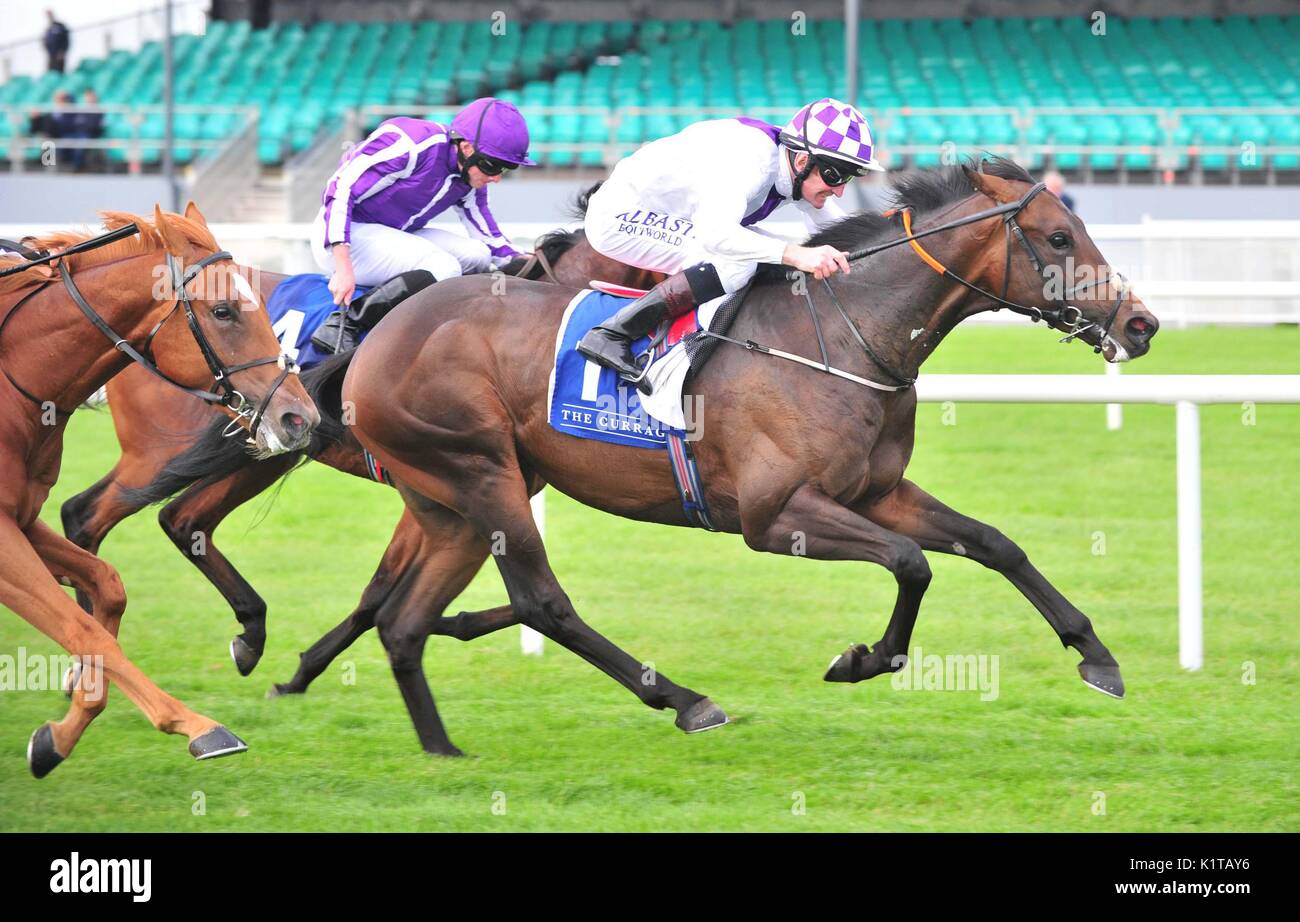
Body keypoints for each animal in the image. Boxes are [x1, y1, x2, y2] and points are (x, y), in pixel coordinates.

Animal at [0, 202, 317, 775]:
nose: (300, 416)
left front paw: (58, 734)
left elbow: (109, 586)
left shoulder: (21, 518)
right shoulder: (2, 533)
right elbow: (84, 627)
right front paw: (201, 727)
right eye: (223, 311)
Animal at [58, 201, 660, 676]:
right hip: (160, 452)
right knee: (84, 514)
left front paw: (309, 667)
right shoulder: (450, 479)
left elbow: (378, 593)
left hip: (263, 453)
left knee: (182, 520)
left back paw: (247, 634)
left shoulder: (453, 489)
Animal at [139, 159, 1159, 754]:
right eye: (1058, 236)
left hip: (447, 499)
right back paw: (682, 698)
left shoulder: (877, 491)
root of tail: (383, 329)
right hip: (482, 475)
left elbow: (992, 544)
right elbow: (913, 566)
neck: (840, 335)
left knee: (400, 616)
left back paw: (435, 739)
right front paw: (863, 657)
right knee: (540, 600)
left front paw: (1096, 656)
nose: (1143, 325)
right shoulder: (776, 517)